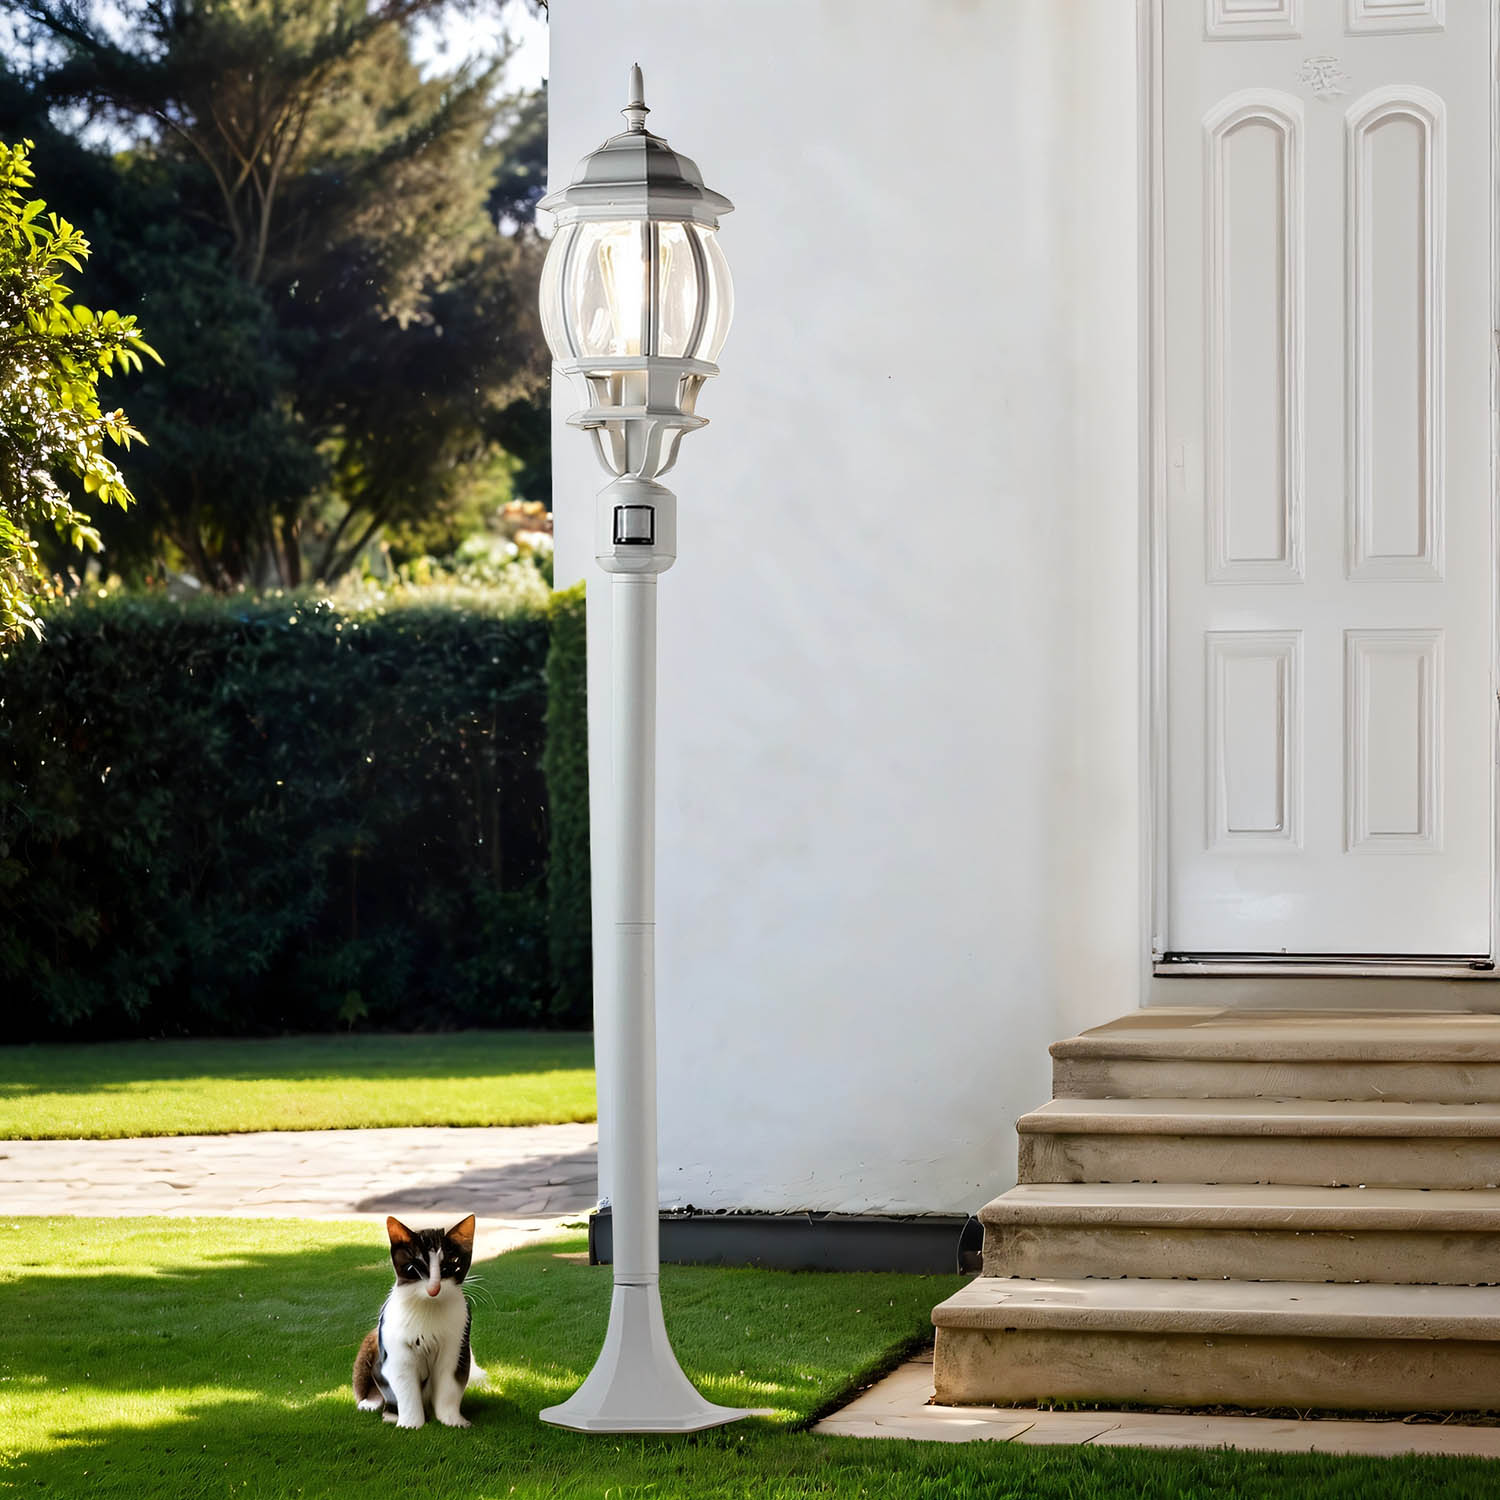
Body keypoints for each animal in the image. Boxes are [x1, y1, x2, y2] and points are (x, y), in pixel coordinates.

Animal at [348, 1206, 483, 1428]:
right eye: (415, 1267)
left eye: (452, 1263)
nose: (434, 1288)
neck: (429, 1307)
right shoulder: (398, 1351)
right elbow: (405, 1387)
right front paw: (410, 1425)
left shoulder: (457, 1344)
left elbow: (450, 1383)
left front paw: (453, 1420)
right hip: (371, 1342)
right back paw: (379, 1408)